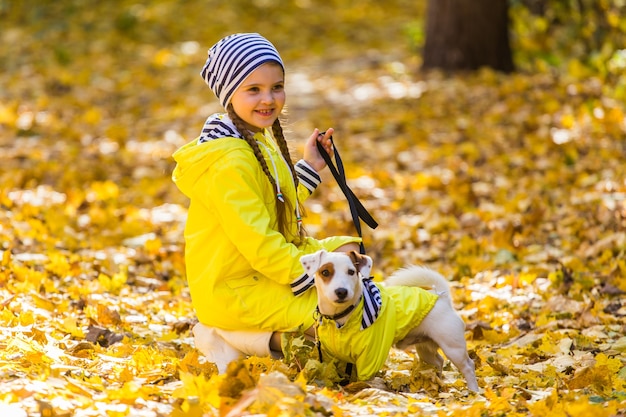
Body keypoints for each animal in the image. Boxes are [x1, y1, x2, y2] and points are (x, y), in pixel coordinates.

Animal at [298, 249, 478, 392]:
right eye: (325, 272)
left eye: (351, 272)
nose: (341, 291)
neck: (341, 318)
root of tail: (441, 297)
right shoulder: (329, 356)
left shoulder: (370, 358)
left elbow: (364, 379)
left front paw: (362, 389)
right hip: (425, 348)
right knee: (438, 362)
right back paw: (435, 382)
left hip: (453, 347)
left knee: (468, 366)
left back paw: (474, 393)